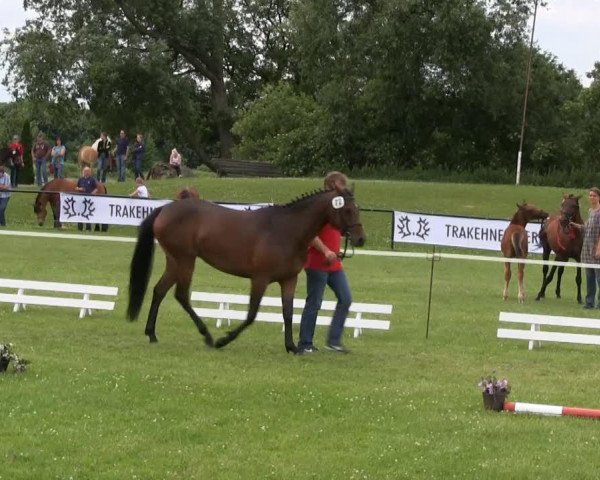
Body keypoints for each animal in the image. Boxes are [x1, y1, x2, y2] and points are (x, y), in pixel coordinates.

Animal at [126, 188, 366, 352]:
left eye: (357, 209)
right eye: (346, 210)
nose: (361, 239)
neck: (287, 230)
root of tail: (165, 208)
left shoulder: (289, 279)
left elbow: (288, 313)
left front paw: (291, 346)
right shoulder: (260, 279)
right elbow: (251, 314)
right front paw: (224, 340)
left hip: (175, 261)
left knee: (159, 290)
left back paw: (152, 334)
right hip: (186, 261)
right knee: (181, 295)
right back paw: (208, 337)